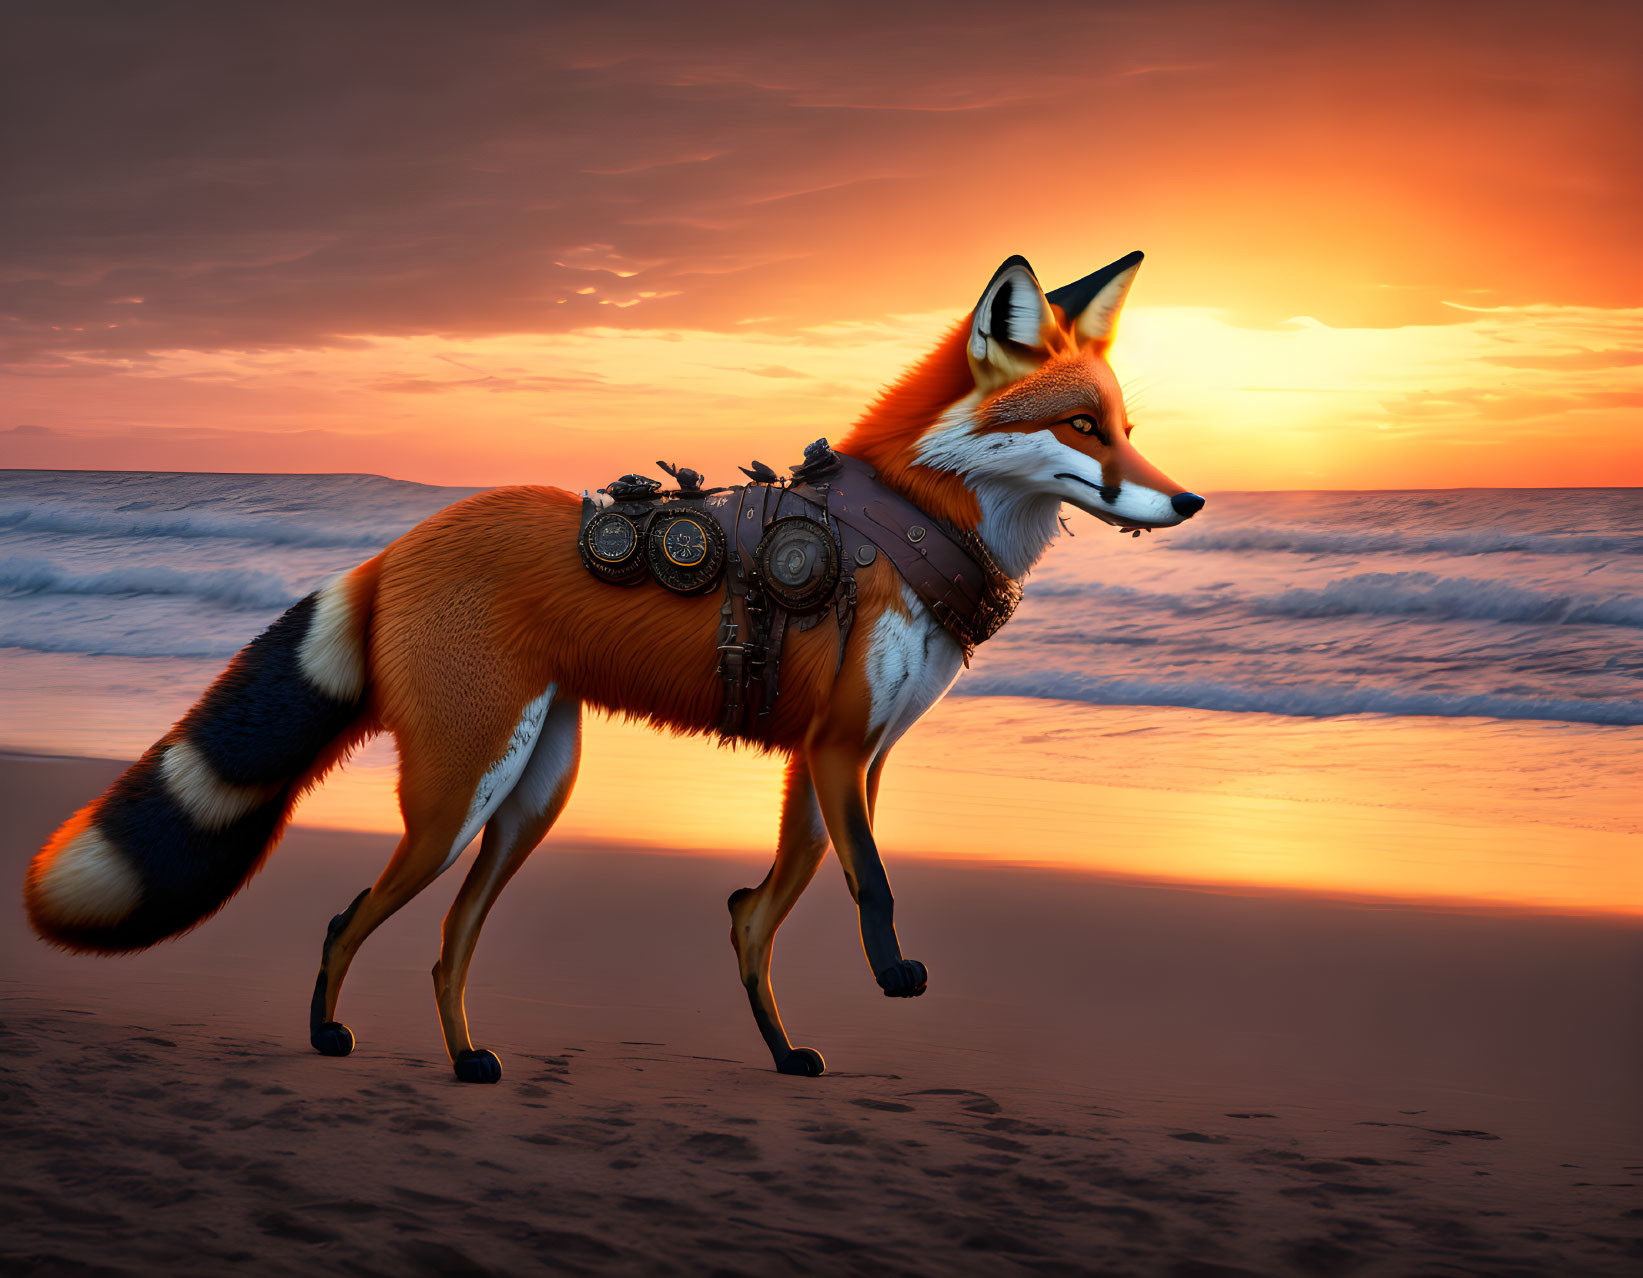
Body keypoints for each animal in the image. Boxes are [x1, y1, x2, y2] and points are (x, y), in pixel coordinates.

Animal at [19, 246, 1202, 1077]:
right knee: (350, 915)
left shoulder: (840, 758)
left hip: (532, 798)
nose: (1189, 500)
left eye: (1125, 427)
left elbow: (757, 916)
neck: (904, 531)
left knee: (447, 941)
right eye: (1082, 426)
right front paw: (889, 976)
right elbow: (868, 885)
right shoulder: (833, 752)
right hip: (461, 798)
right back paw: (324, 1039)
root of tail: (403, 541)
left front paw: (783, 1051)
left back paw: (465, 1062)